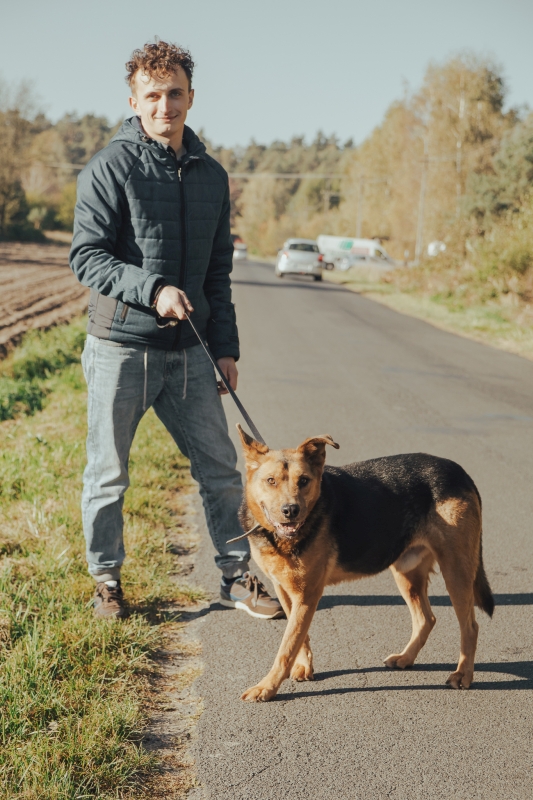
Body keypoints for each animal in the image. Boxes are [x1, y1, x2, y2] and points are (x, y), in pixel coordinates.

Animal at [235, 424, 494, 702]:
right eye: (271, 481)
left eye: (303, 481)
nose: (291, 511)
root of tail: (460, 471)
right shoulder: (285, 590)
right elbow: (299, 638)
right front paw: (303, 667)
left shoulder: (307, 595)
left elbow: (287, 646)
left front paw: (267, 687)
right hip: (407, 572)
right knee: (427, 619)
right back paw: (406, 658)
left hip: (455, 571)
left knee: (470, 626)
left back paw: (463, 675)